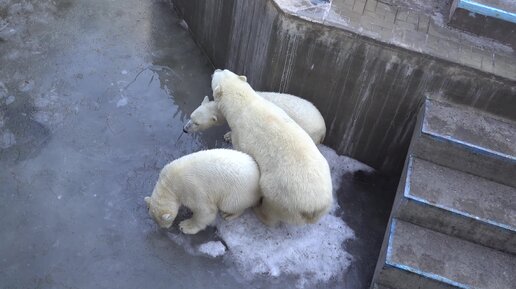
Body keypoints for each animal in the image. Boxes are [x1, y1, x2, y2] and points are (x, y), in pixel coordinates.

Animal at [183, 91, 324, 143]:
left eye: (197, 123)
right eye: (191, 117)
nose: (184, 129)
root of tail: (324, 127)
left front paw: (228, 136)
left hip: (310, 131)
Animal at [212, 68, 332, 226]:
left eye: (216, 75)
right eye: (225, 70)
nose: (217, 69)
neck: (246, 103)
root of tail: (315, 208)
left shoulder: (243, 134)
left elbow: (242, 150)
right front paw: (226, 135)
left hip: (283, 196)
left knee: (271, 206)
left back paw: (258, 209)